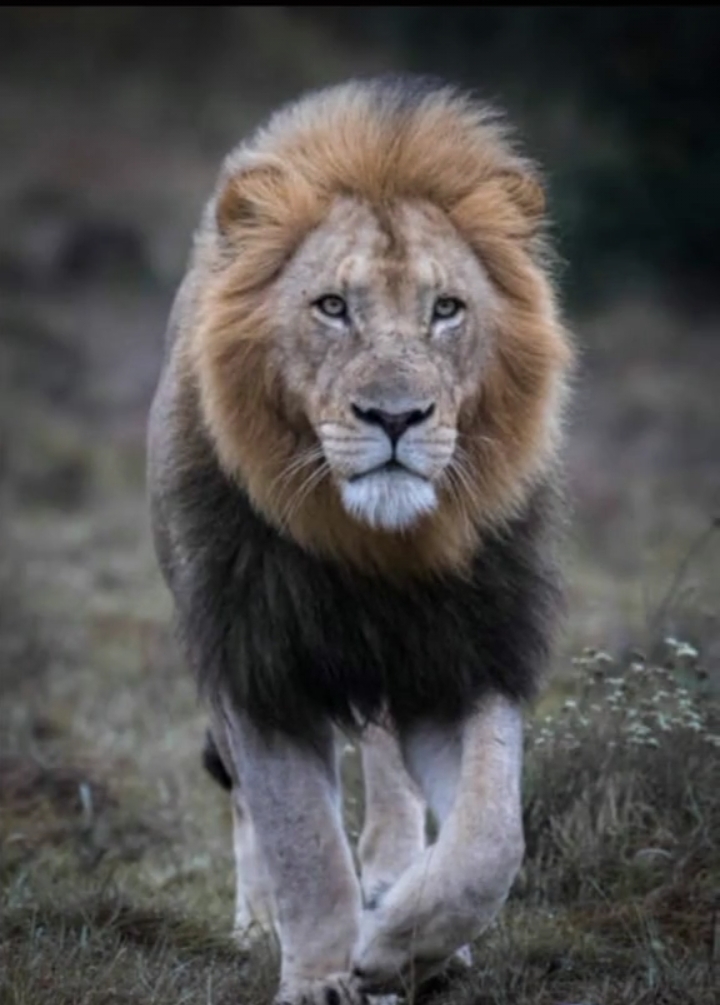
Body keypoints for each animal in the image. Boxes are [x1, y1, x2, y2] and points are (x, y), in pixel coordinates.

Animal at [147, 74, 573, 1004]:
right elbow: (301, 836)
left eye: (446, 309)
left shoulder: (467, 650)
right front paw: (321, 975)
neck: (373, 548)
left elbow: (492, 836)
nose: (395, 416)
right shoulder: (253, 656)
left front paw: (402, 946)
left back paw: (397, 895)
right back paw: (260, 920)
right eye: (332, 307)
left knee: (390, 775)